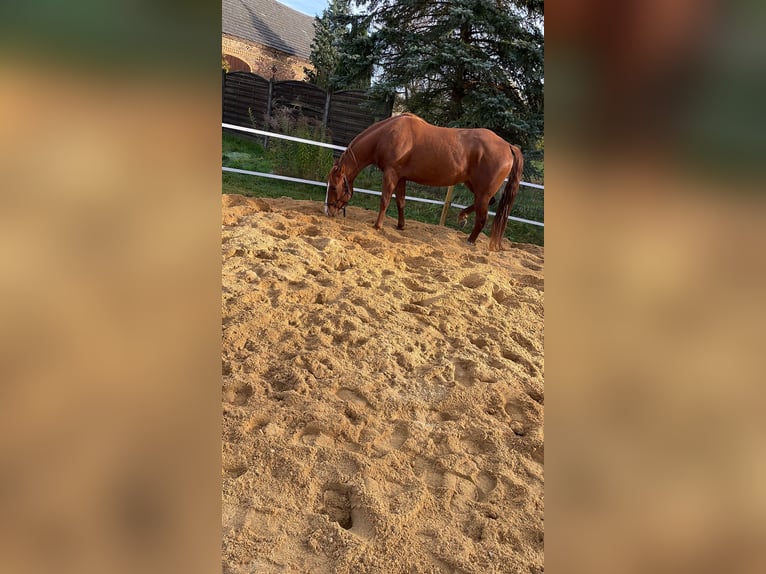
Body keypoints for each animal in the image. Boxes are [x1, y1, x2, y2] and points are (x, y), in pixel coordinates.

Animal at [324, 113, 520, 251]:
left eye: (333, 187)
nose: (328, 211)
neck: (387, 135)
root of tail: (508, 146)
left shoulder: (391, 174)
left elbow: (385, 199)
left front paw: (377, 226)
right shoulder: (401, 177)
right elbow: (400, 201)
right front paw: (401, 226)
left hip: (482, 191)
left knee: (482, 217)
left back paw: (470, 240)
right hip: (475, 186)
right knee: (489, 204)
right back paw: (462, 217)